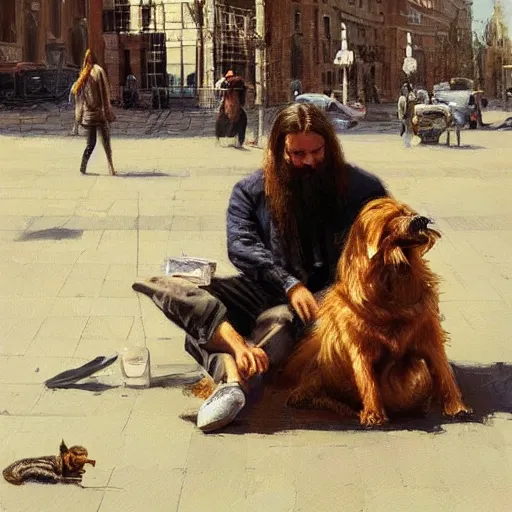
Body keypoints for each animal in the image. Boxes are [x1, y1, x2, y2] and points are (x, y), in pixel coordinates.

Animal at [284, 198, 472, 426]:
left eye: (409, 213)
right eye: (394, 217)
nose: (422, 219)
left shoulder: (429, 336)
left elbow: (444, 372)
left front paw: (458, 408)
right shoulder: (359, 347)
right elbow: (368, 381)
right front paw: (374, 415)